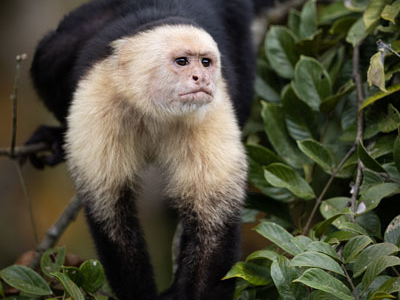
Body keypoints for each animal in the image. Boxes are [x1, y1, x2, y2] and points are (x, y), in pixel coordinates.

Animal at [26, 0, 272, 300]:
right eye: (182, 62)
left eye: (205, 62)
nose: (202, 78)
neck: (155, 111)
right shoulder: (98, 103)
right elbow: (111, 214)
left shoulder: (213, 112)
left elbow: (214, 226)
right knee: (52, 52)